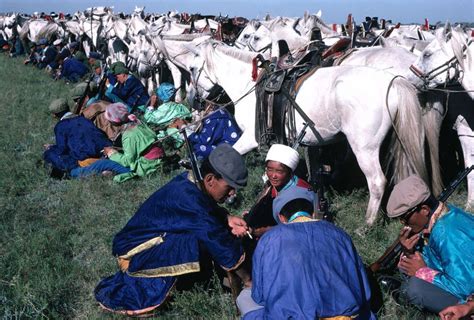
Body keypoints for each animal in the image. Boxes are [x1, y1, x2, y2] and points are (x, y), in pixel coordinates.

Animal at [184, 40, 434, 225]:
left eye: (192, 69)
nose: (192, 101)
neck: (251, 85)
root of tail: (392, 82)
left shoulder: (250, 139)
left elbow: (231, 154)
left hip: (364, 147)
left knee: (377, 182)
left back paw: (367, 225)